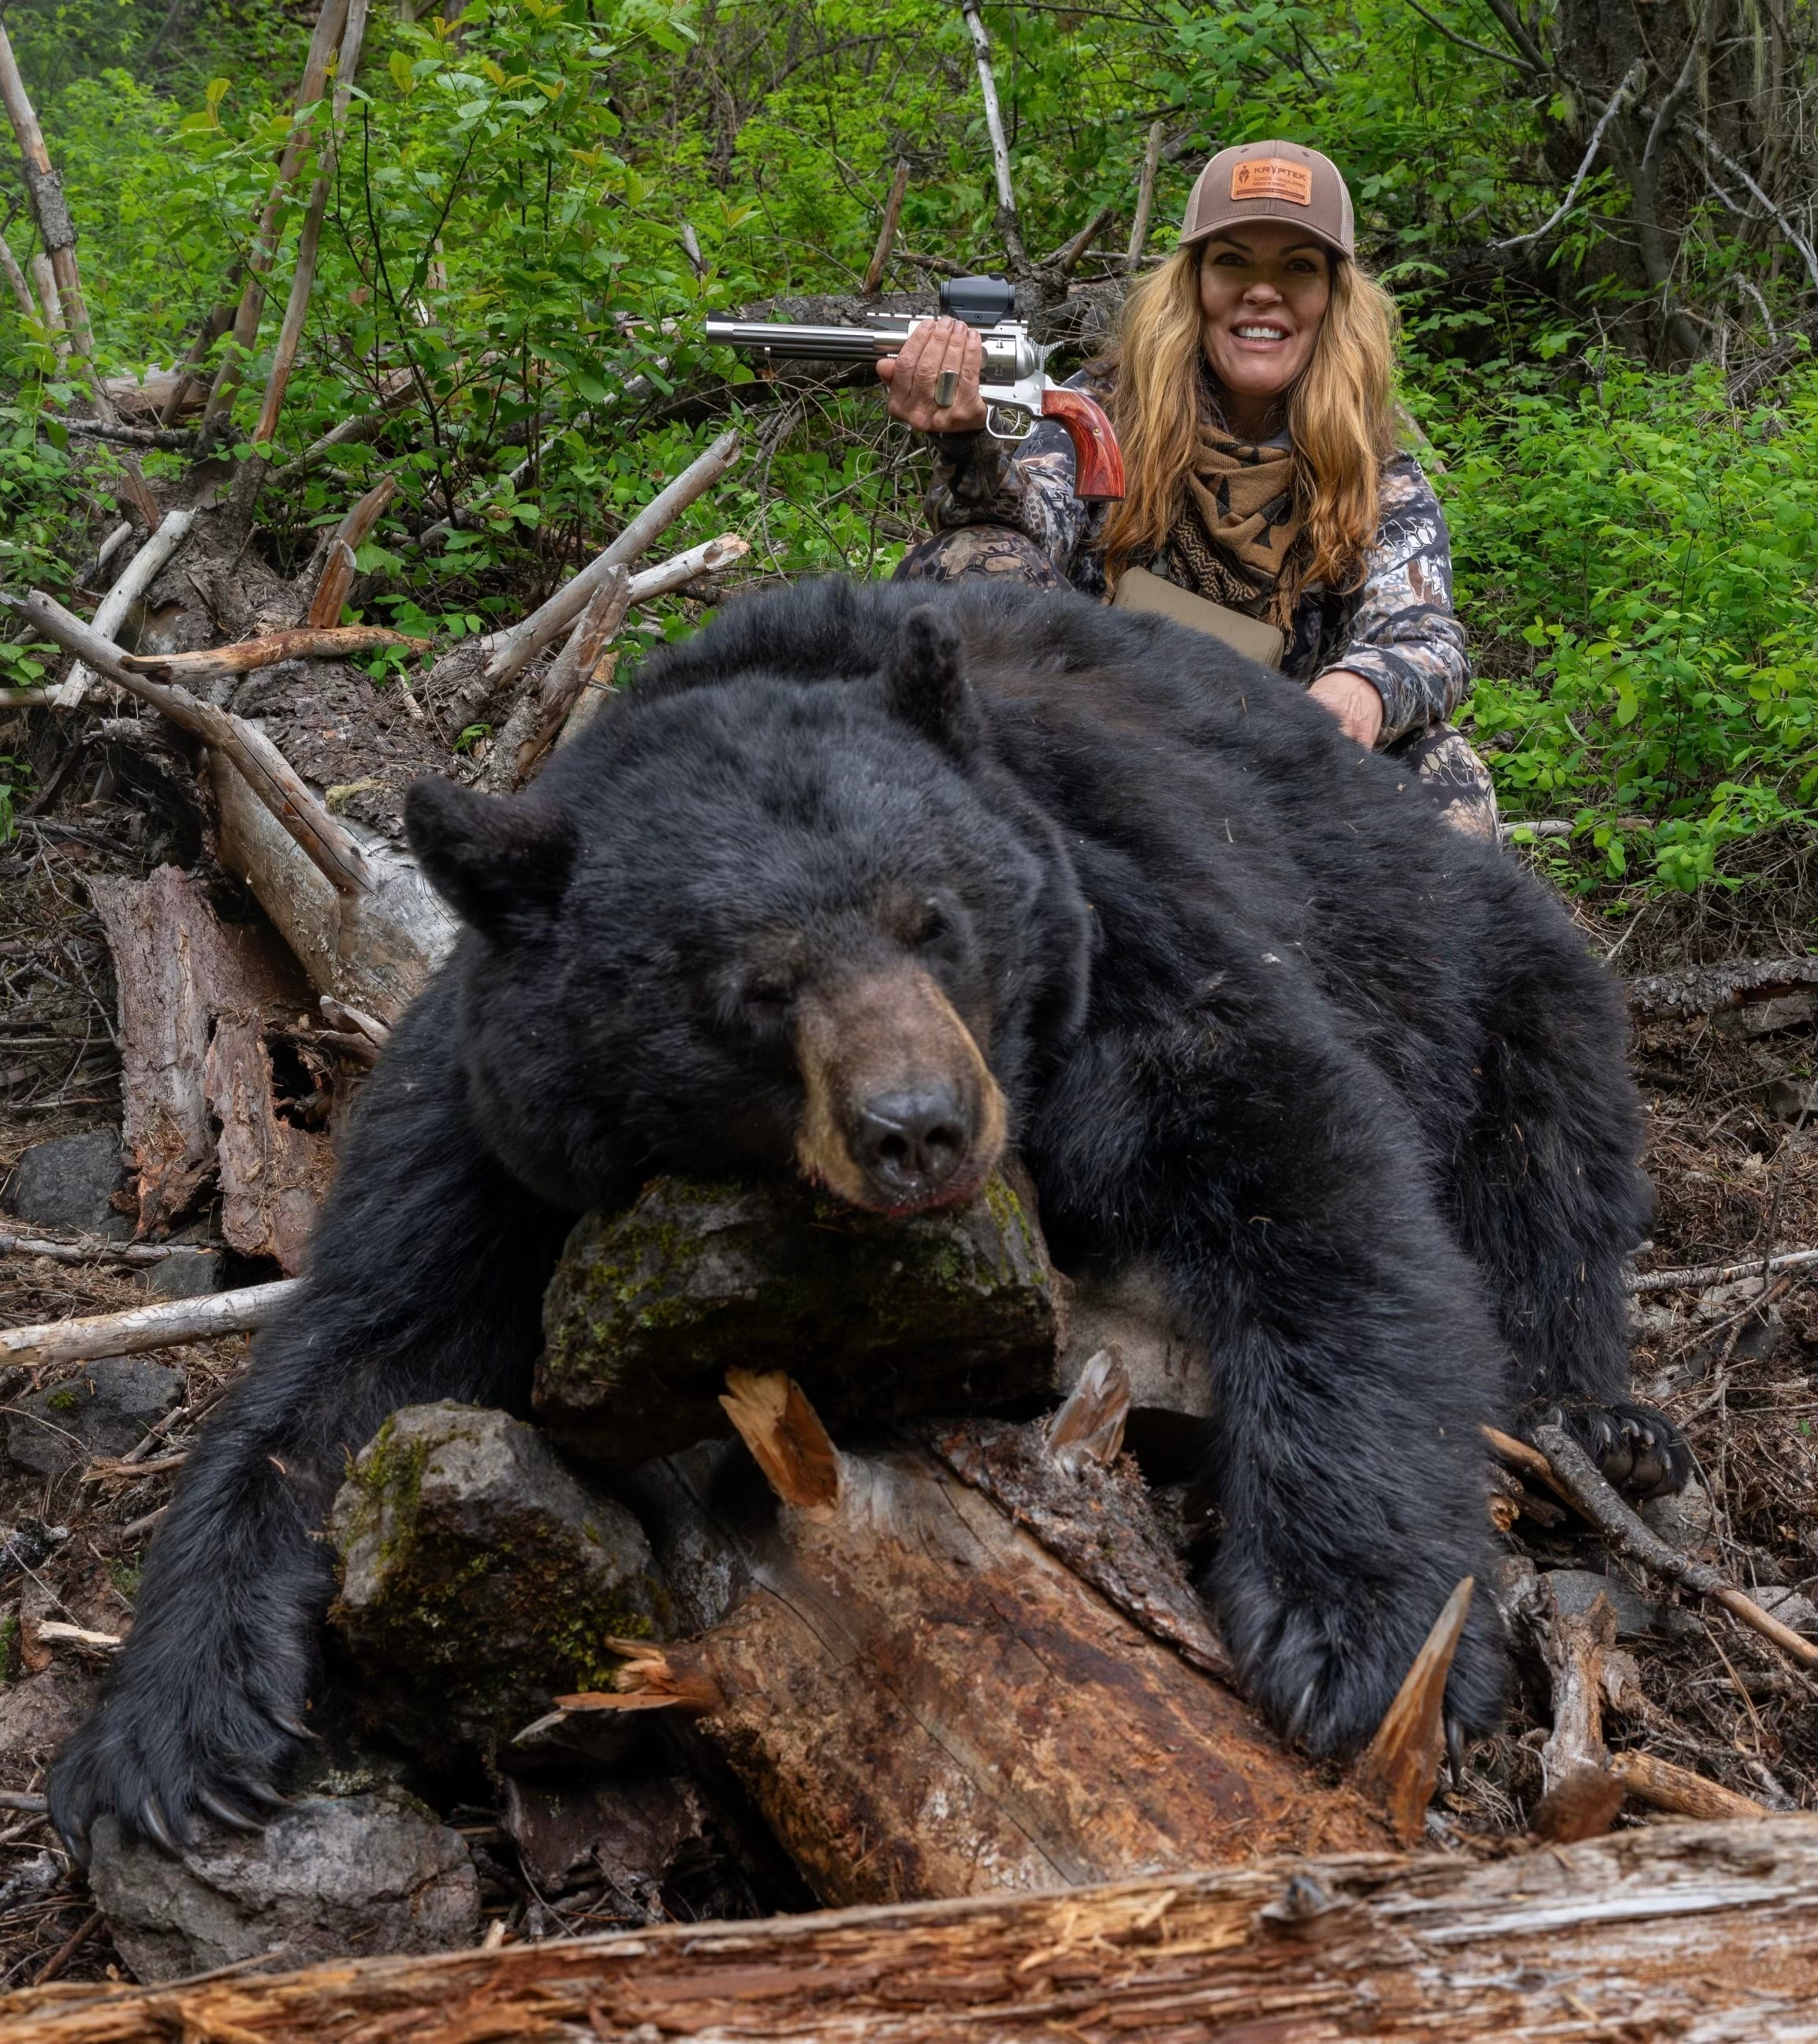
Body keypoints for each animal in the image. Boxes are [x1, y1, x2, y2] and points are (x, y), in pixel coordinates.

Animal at [50, 574, 1687, 1857]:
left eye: (932, 917)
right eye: (756, 989)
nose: (922, 1126)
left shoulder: (1126, 941)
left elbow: (1315, 1181)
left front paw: (1361, 1636)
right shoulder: (494, 1121)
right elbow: (361, 1347)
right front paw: (174, 1730)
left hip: (1462, 944)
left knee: (1547, 1137)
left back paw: (1599, 1424)